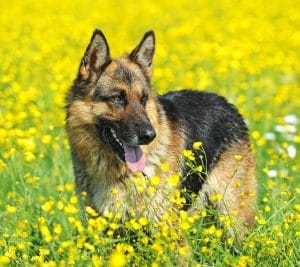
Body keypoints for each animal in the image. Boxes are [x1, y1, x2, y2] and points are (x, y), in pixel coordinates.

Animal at [65, 29, 255, 241]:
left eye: (143, 98)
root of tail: (227, 103)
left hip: (233, 218)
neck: (118, 174)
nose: (149, 136)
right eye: (117, 98)